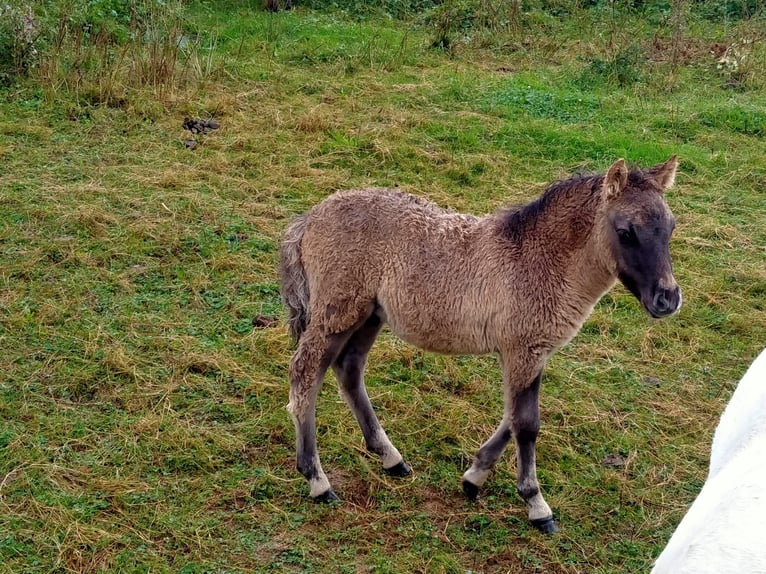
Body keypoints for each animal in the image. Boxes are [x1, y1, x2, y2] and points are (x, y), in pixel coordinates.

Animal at [280, 159, 684, 536]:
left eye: (671, 226)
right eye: (626, 231)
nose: (667, 299)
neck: (537, 260)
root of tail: (310, 218)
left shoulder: (530, 353)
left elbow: (513, 415)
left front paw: (473, 478)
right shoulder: (523, 350)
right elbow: (527, 423)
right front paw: (536, 504)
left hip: (369, 315)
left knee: (348, 369)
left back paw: (390, 458)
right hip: (338, 311)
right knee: (305, 373)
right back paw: (317, 480)